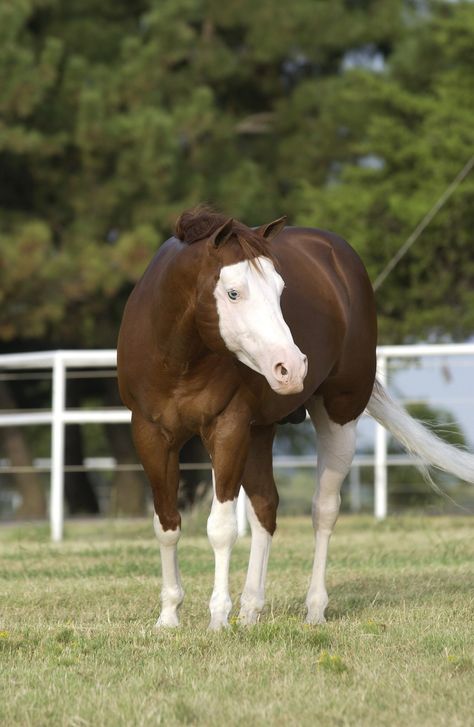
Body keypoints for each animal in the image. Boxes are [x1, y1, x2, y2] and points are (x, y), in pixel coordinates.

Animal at [116, 208, 474, 628]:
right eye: (233, 292)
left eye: (280, 290)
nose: (292, 367)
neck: (179, 356)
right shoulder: (151, 434)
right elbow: (167, 523)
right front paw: (169, 615)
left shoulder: (227, 429)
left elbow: (221, 528)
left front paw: (218, 618)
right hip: (259, 431)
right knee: (265, 509)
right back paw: (251, 610)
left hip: (337, 416)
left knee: (324, 511)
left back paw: (314, 609)